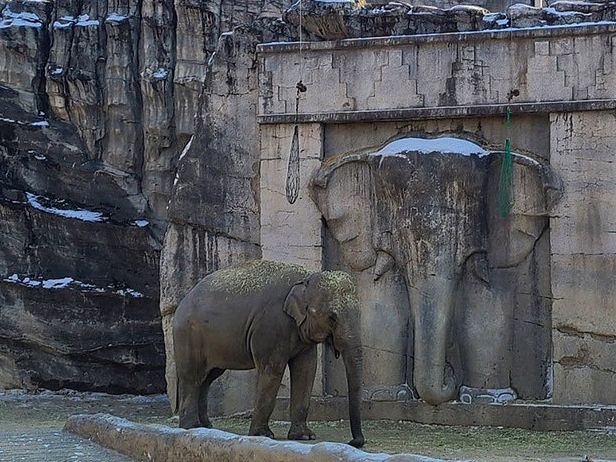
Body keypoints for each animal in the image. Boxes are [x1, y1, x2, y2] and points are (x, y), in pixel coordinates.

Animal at [172, 258, 366, 446]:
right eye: (332, 317)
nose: (354, 441)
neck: (306, 278)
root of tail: (181, 303)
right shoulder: (270, 325)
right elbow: (272, 370)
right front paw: (262, 435)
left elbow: (306, 370)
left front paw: (305, 436)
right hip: (188, 336)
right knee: (193, 377)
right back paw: (191, 427)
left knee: (208, 378)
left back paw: (205, 427)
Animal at [310, 134, 560, 404]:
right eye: (391, 198)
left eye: (467, 199)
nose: (449, 371)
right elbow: (382, 311)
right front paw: (384, 398)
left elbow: (483, 315)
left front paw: (486, 400)